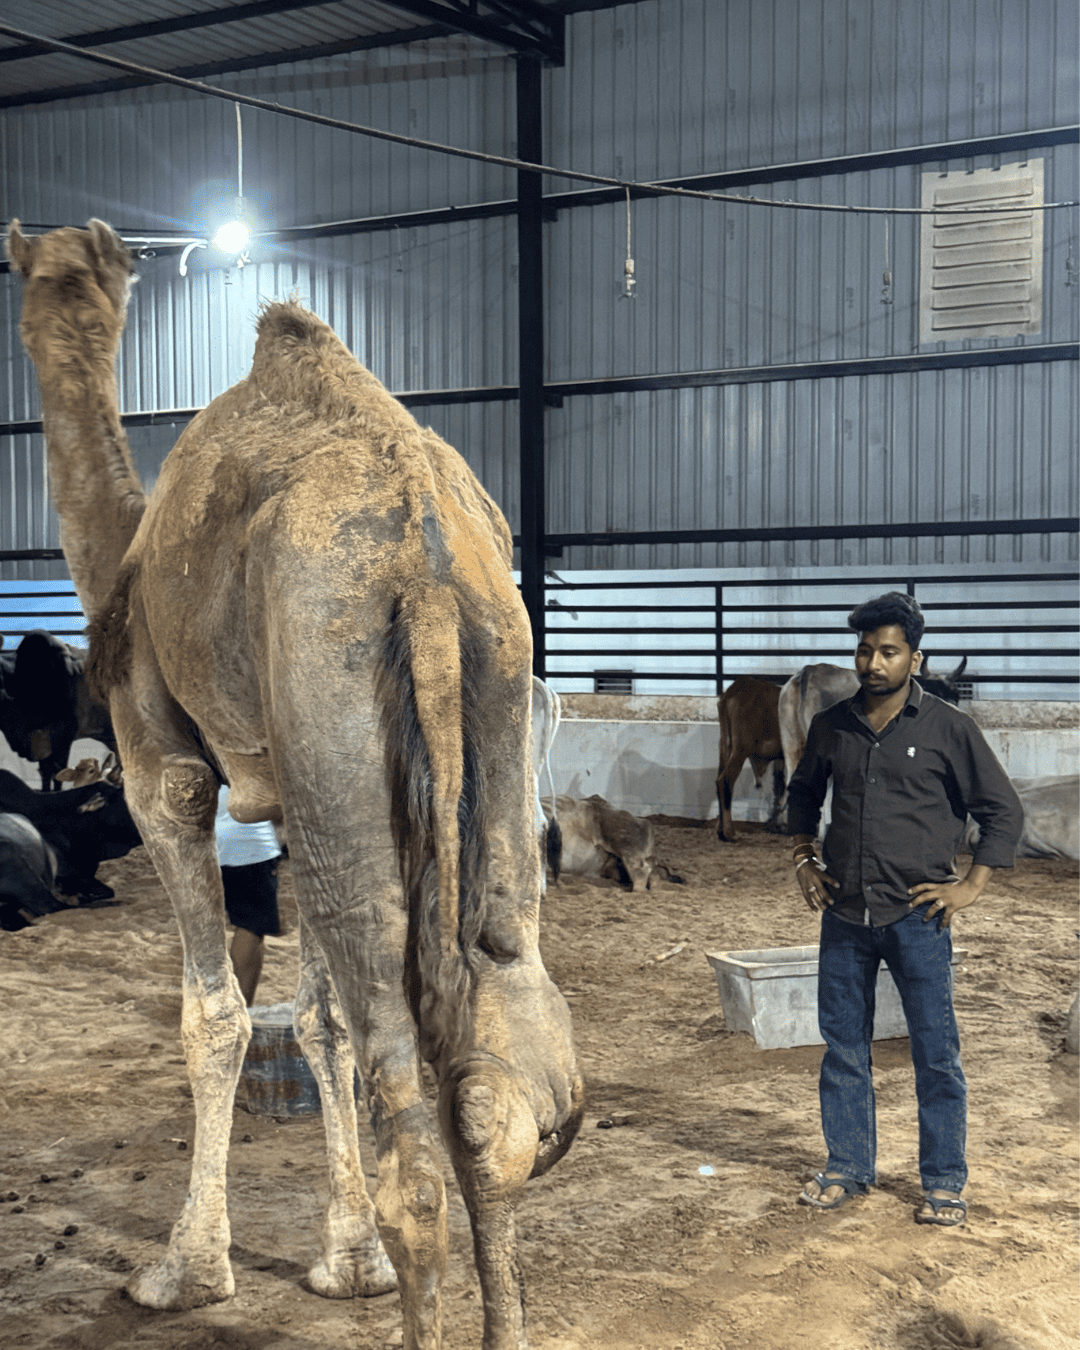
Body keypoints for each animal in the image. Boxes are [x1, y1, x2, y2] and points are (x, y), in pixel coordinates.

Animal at [6, 218, 584, 1350]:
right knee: (499, 1084)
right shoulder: (286, 792)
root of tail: (423, 558)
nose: (50, 286)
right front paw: (343, 1263)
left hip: (335, 699)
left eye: (35, 279)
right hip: (490, 696)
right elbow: (319, 1023)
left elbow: (217, 1016)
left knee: (418, 1141)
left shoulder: (164, 768)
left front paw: (184, 1272)